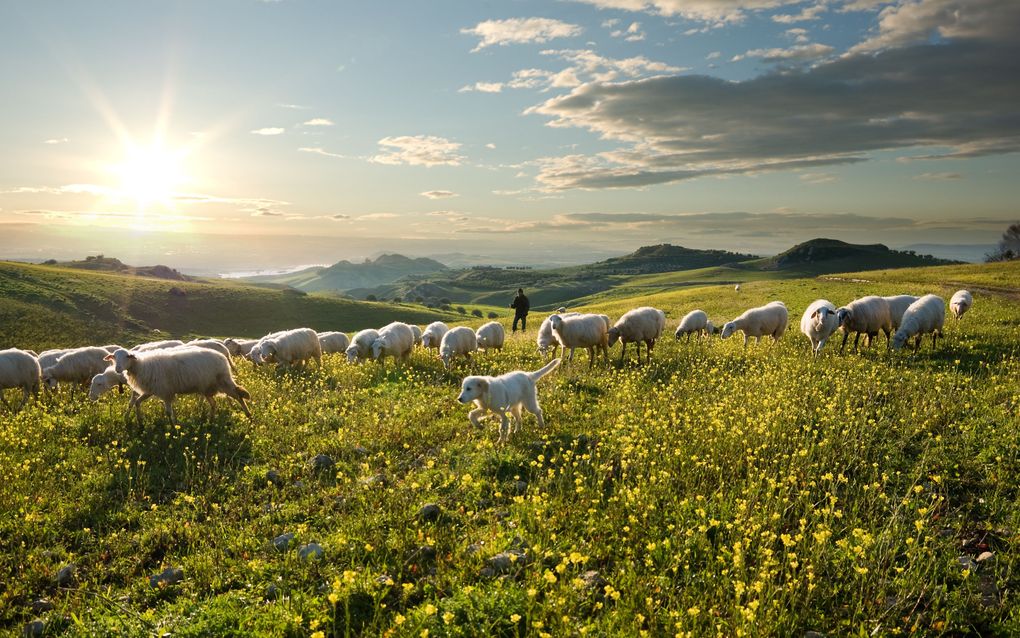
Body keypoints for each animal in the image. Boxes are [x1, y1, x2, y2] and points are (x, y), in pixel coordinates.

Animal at [108, 345, 252, 424]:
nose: (118, 369)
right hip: (207, 388)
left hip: (224, 382)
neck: (140, 366)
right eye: (114, 357)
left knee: (238, 396)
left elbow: (168, 412)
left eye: (127, 356)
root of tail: (222, 357)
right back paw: (211, 420)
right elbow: (137, 402)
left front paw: (173, 427)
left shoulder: (165, 391)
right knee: (214, 403)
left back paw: (248, 415)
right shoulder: (150, 390)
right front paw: (140, 422)